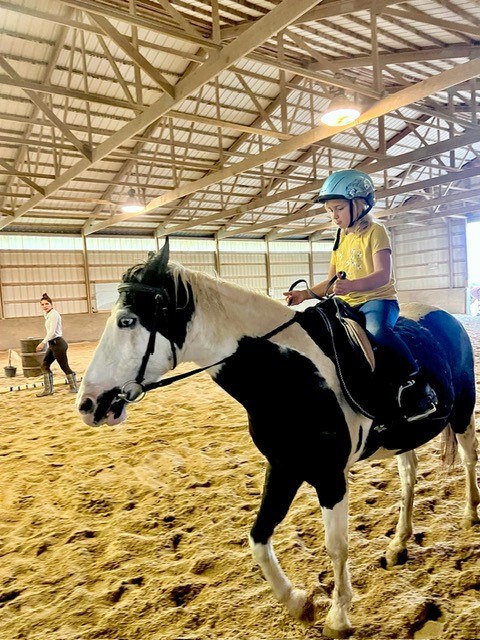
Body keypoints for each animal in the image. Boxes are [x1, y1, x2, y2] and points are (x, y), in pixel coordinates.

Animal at [77, 241, 478, 640]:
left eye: (127, 321)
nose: (88, 404)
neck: (286, 376)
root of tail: (446, 317)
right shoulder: (284, 467)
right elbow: (258, 539)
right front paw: (299, 603)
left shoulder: (329, 476)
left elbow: (336, 546)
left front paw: (338, 616)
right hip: (402, 440)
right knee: (409, 479)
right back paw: (398, 544)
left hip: (461, 413)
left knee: (468, 459)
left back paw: (469, 515)